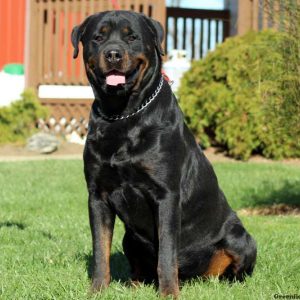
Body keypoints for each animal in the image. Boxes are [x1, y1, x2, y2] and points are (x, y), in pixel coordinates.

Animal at [71, 10, 256, 298]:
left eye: (132, 37)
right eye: (98, 38)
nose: (113, 53)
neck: (122, 116)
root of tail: (193, 277)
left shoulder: (166, 195)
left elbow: (167, 255)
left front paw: (169, 293)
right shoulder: (97, 195)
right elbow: (100, 249)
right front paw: (97, 290)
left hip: (241, 238)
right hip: (130, 237)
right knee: (139, 267)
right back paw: (134, 285)